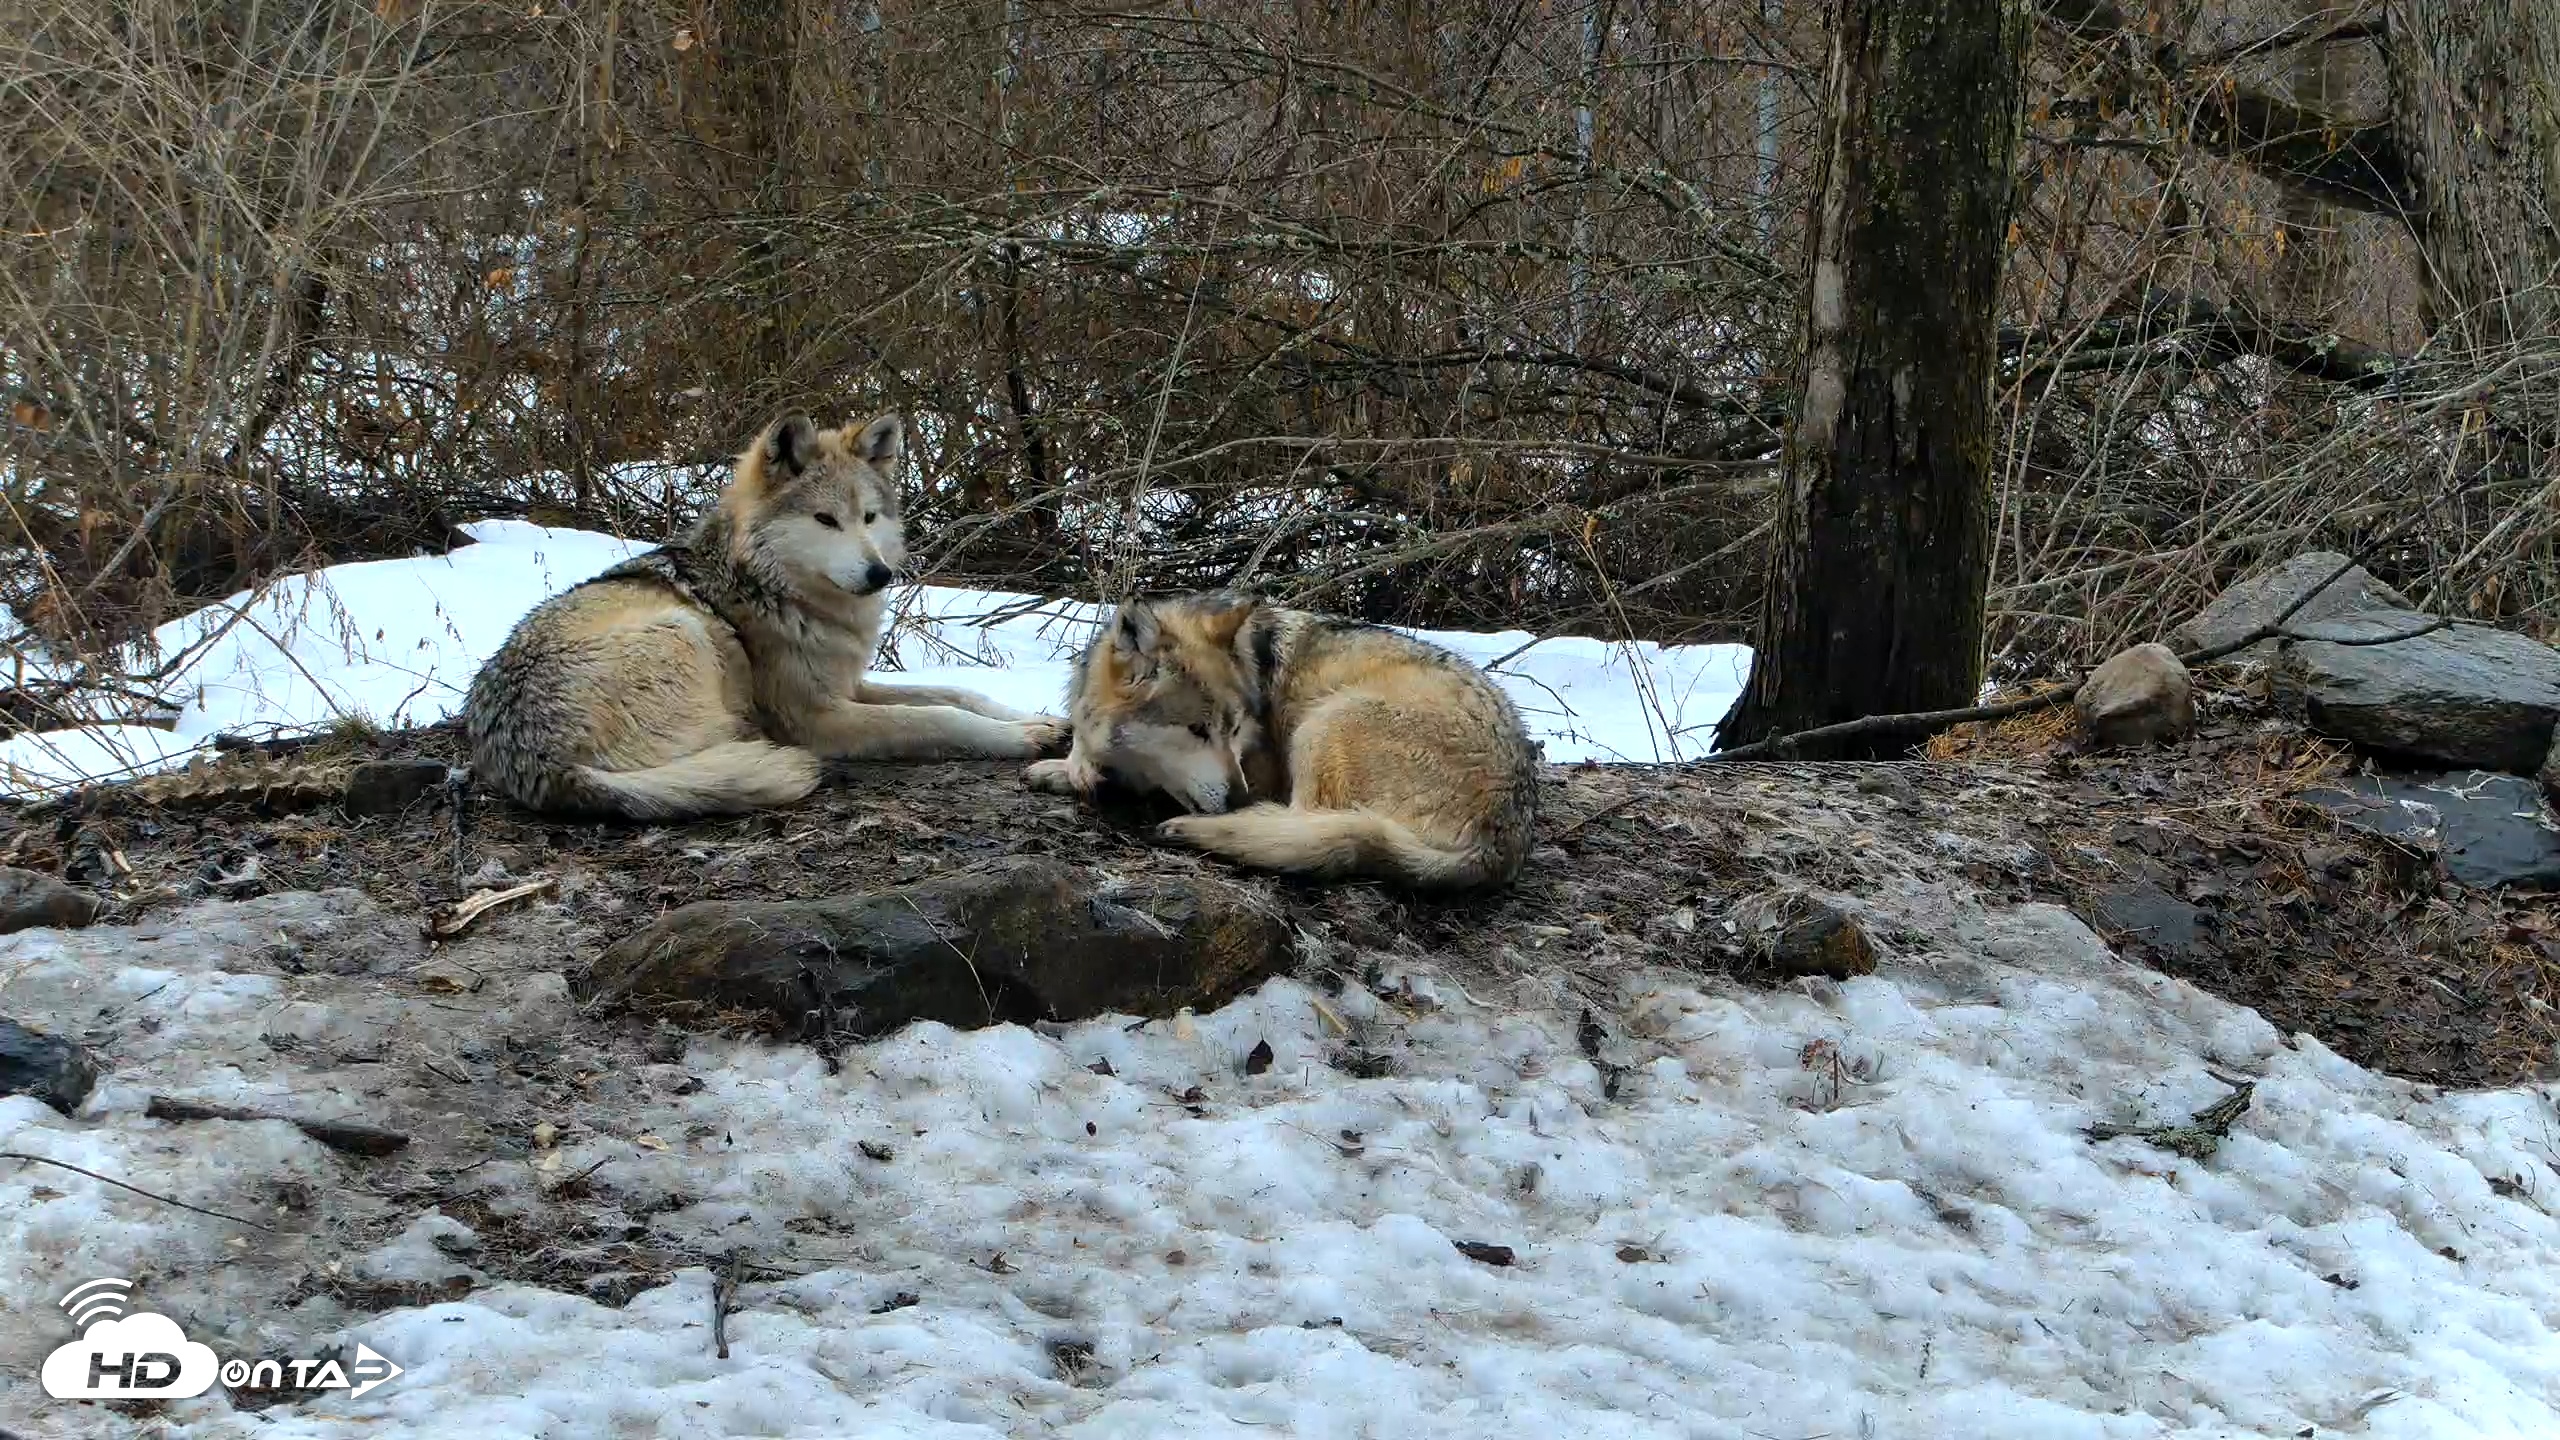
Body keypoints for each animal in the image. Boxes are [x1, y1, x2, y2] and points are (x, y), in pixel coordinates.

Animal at [465, 411, 1065, 819]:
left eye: (869, 518)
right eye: (825, 520)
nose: (879, 574)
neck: (772, 590)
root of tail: (545, 767)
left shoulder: (847, 685)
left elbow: (957, 693)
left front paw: (1038, 718)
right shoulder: (818, 717)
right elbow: (935, 717)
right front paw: (1020, 739)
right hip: (686, 632)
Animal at [1024, 591, 1539, 888]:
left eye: (1233, 728)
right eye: (1197, 730)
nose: (1238, 799)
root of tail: (1504, 839)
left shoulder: (1262, 769)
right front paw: (1067, 761)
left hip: (1323, 723)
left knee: (1304, 826)